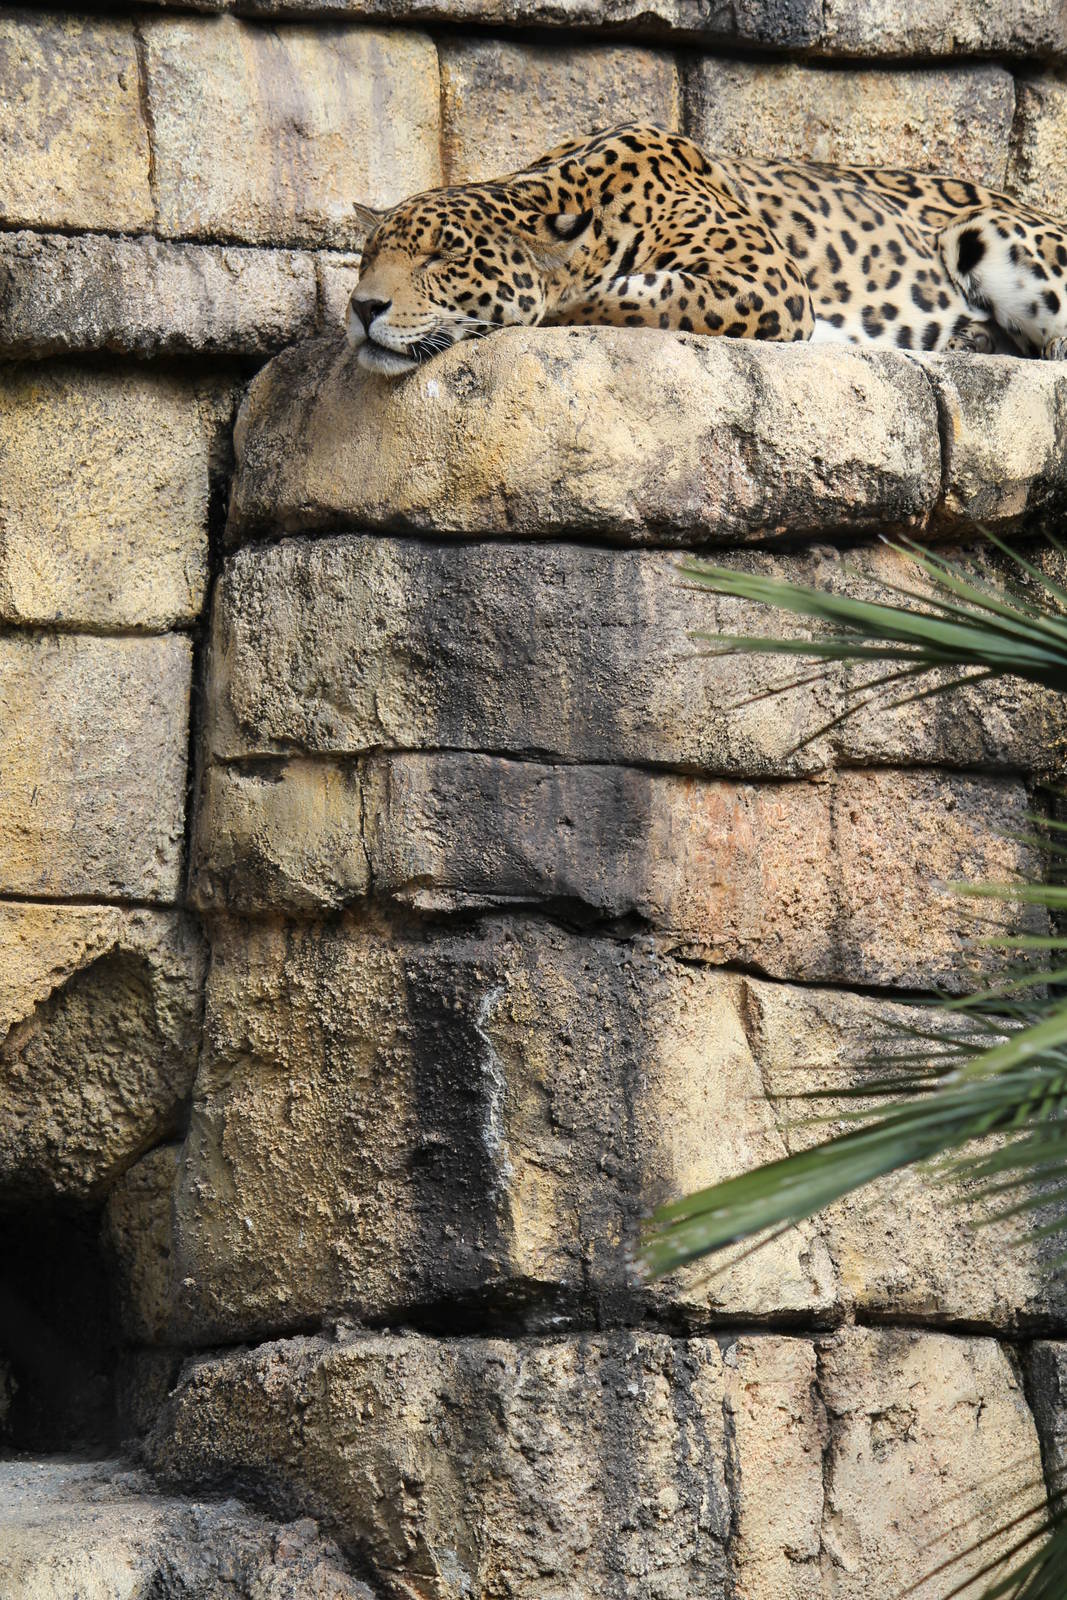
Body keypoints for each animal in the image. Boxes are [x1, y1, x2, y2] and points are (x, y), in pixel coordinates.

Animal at [345, 121, 1067, 376]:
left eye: (443, 257)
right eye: (367, 257)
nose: (360, 309)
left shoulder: (766, 280)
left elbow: (643, 297)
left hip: (992, 232)